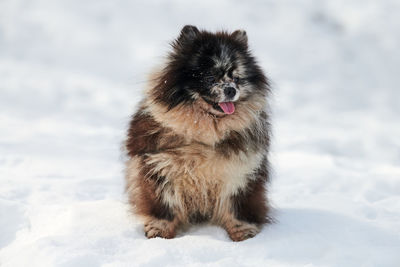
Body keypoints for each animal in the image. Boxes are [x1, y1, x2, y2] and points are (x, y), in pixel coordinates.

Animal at [124, 25, 272, 243]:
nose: (231, 89)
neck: (205, 132)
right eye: (210, 78)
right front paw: (159, 232)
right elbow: (165, 206)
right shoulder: (160, 168)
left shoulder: (240, 173)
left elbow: (236, 207)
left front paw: (243, 233)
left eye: (236, 78)